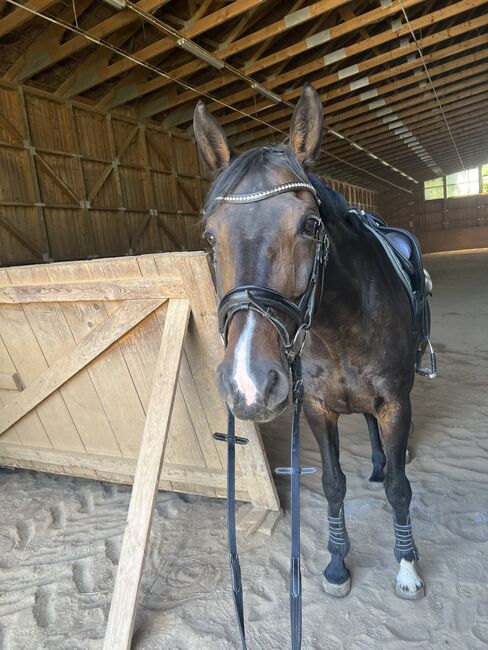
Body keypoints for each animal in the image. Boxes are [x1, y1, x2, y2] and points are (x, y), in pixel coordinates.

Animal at [193, 83, 426, 604]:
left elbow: (400, 489)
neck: (340, 328)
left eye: (310, 225)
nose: (248, 384)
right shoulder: (318, 408)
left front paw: (406, 566)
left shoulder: (396, 403)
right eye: (210, 238)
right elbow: (334, 484)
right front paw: (337, 564)